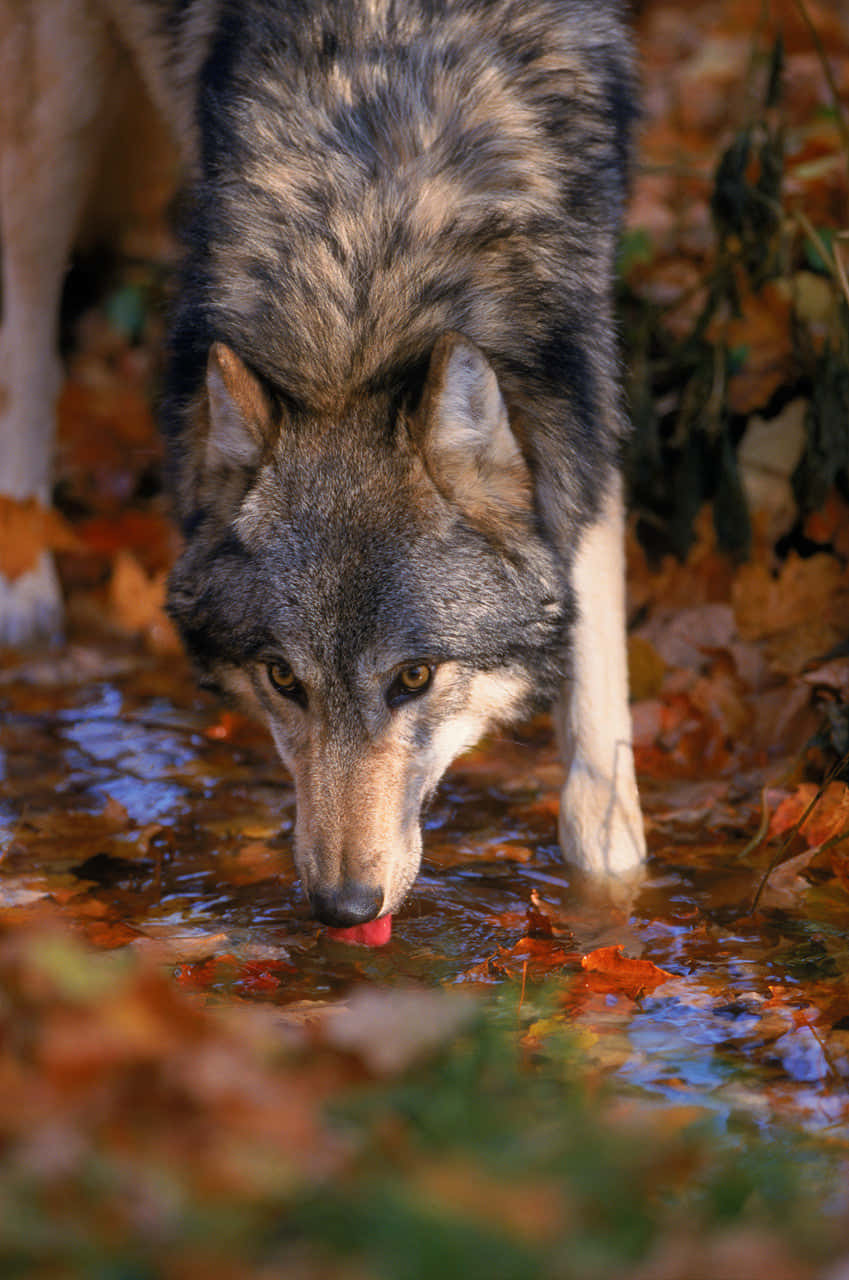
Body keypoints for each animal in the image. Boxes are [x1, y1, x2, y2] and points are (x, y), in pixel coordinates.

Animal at [1, 0, 645, 926]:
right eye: (282, 676)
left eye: (414, 678)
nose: (344, 907)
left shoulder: (581, 434)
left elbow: (598, 791)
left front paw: (610, 911)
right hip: (63, 106)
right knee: (25, 339)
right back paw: (23, 588)